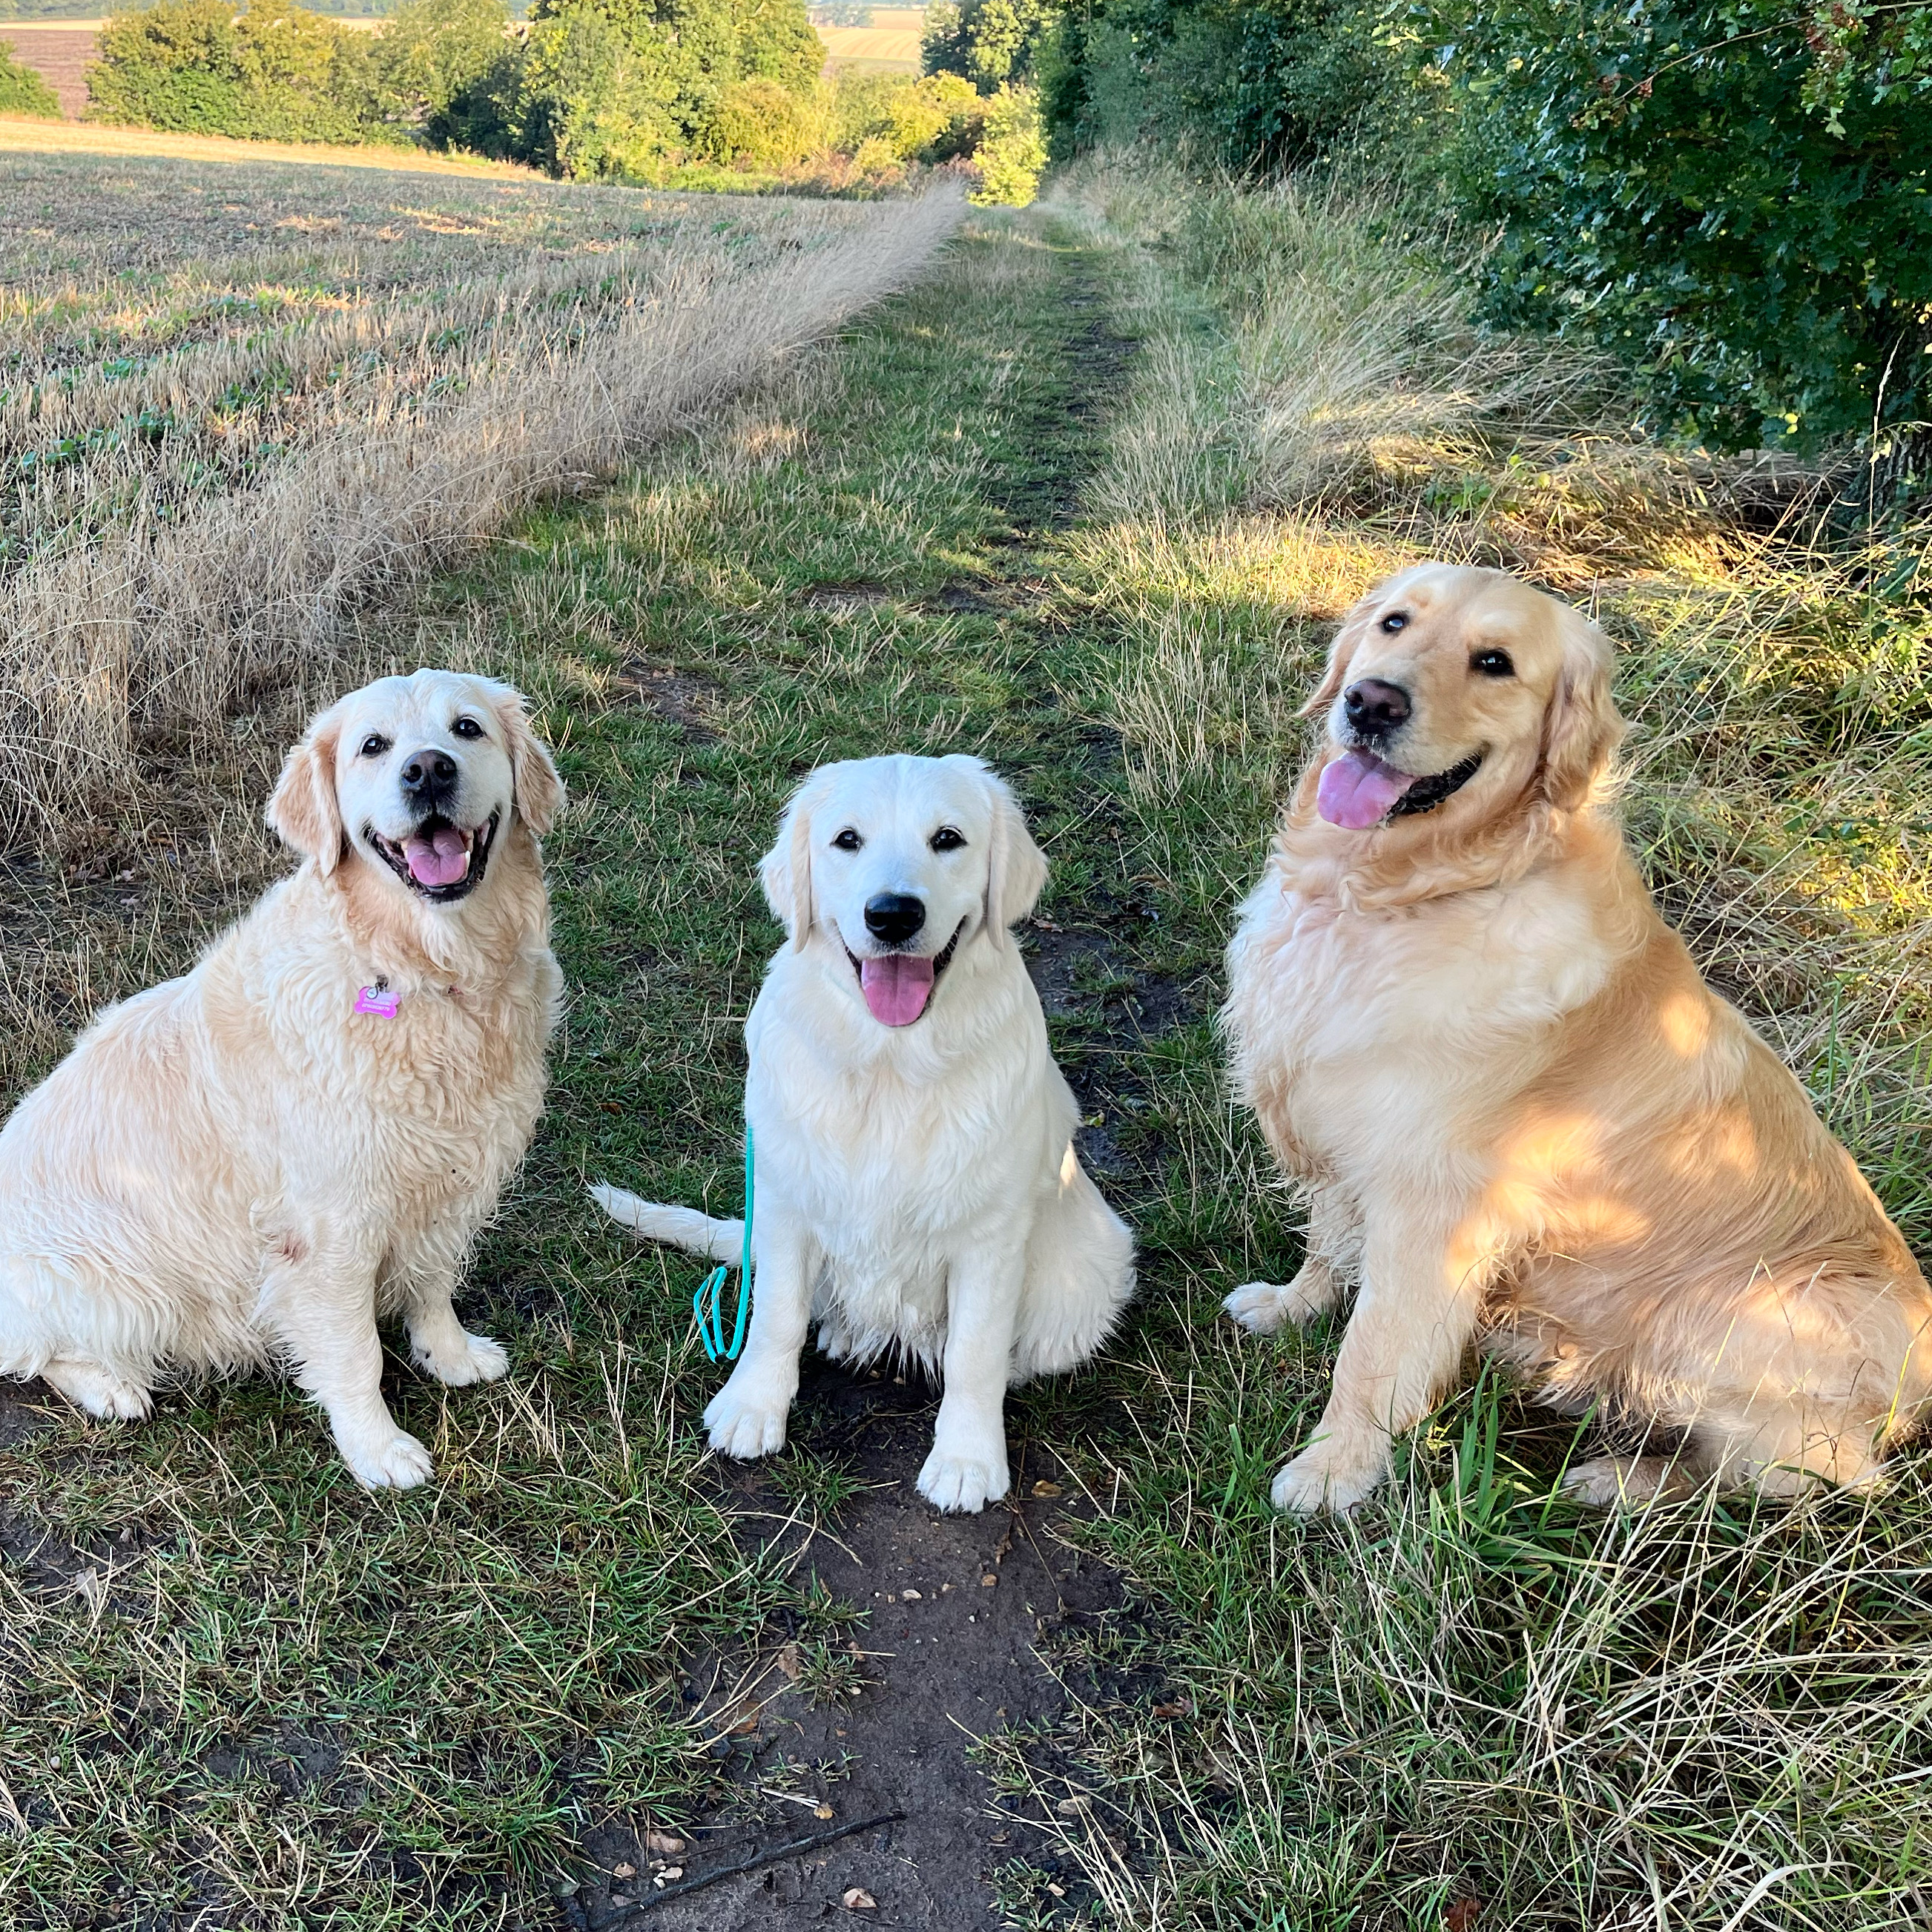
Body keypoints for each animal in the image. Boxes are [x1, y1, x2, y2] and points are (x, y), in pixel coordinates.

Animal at [0, 672, 564, 1483]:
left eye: (467, 728)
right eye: (372, 745)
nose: (428, 770)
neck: (429, 976)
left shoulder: (452, 1181)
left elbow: (433, 1284)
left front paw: (450, 1356)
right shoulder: (331, 1228)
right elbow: (355, 1353)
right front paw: (376, 1449)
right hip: (113, 1287)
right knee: (34, 1349)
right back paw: (110, 1387)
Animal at [1228, 560, 1924, 1506]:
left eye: (1494, 662)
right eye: (1394, 623)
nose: (1371, 702)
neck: (1398, 891)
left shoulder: (1434, 1204)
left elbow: (1371, 1350)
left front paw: (1334, 1468)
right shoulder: (1336, 1121)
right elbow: (1328, 1244)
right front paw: (1287, 1304)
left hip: (1730, 1315)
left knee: (1781, 1471)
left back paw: (1614, 1479)